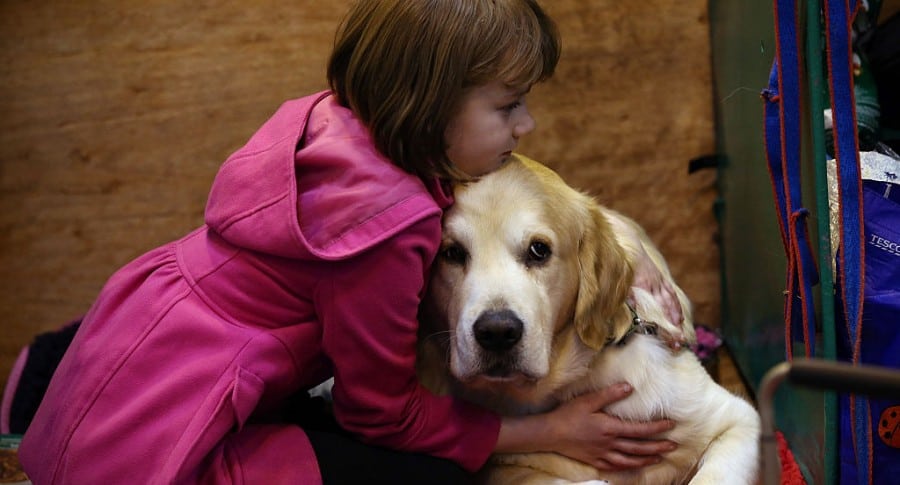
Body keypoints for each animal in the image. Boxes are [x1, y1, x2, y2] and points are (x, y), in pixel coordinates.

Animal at [416, 156, 760, 484]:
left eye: (539, 250)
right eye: (451, 253)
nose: (497, 332)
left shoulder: (738, 419)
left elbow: (713, 474)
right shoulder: (502, 466)